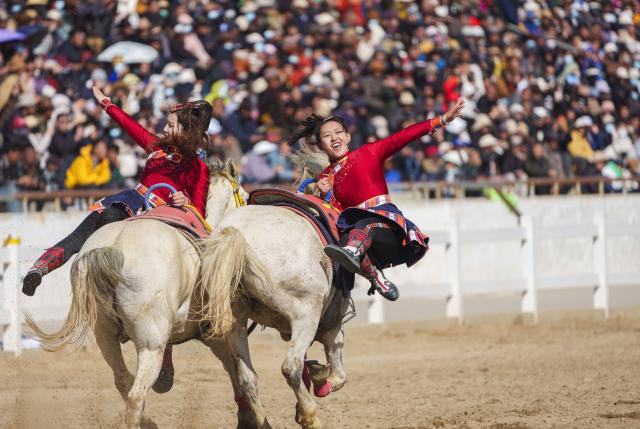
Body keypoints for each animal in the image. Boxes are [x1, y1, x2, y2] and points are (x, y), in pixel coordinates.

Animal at [26, 160, 262, 429]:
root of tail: (112, 249)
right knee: (136, 394)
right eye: (244, 196)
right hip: (150, 343)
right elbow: (236, 370)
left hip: (105, 334)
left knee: (123, 382)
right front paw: (248, 418)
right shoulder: (215, 333)